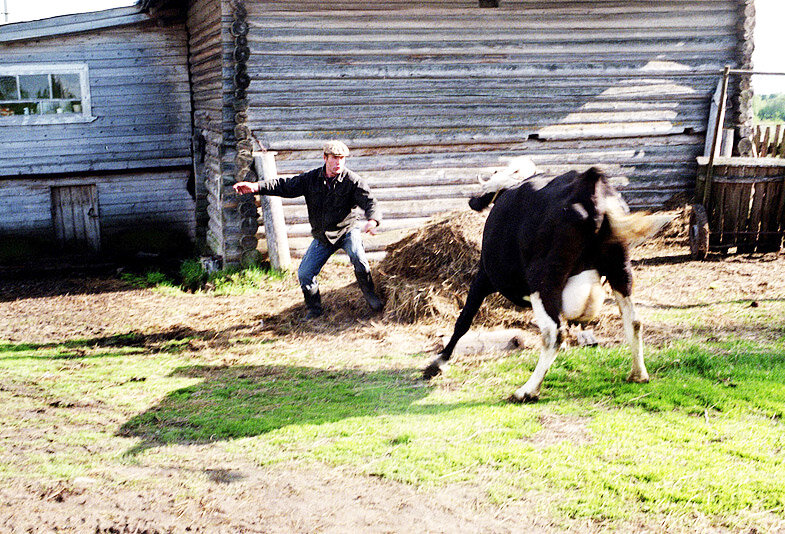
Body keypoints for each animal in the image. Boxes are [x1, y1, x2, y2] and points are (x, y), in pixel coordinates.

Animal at [422, 161, 668, 404]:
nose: (473, 200)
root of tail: (588, 185)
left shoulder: (484, 276)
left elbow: (464, 320)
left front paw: (438, 363)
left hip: (543, 279)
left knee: (553, 333)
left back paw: (526, 391)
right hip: (620, 269)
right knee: (633, 320)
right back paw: (638, 374)